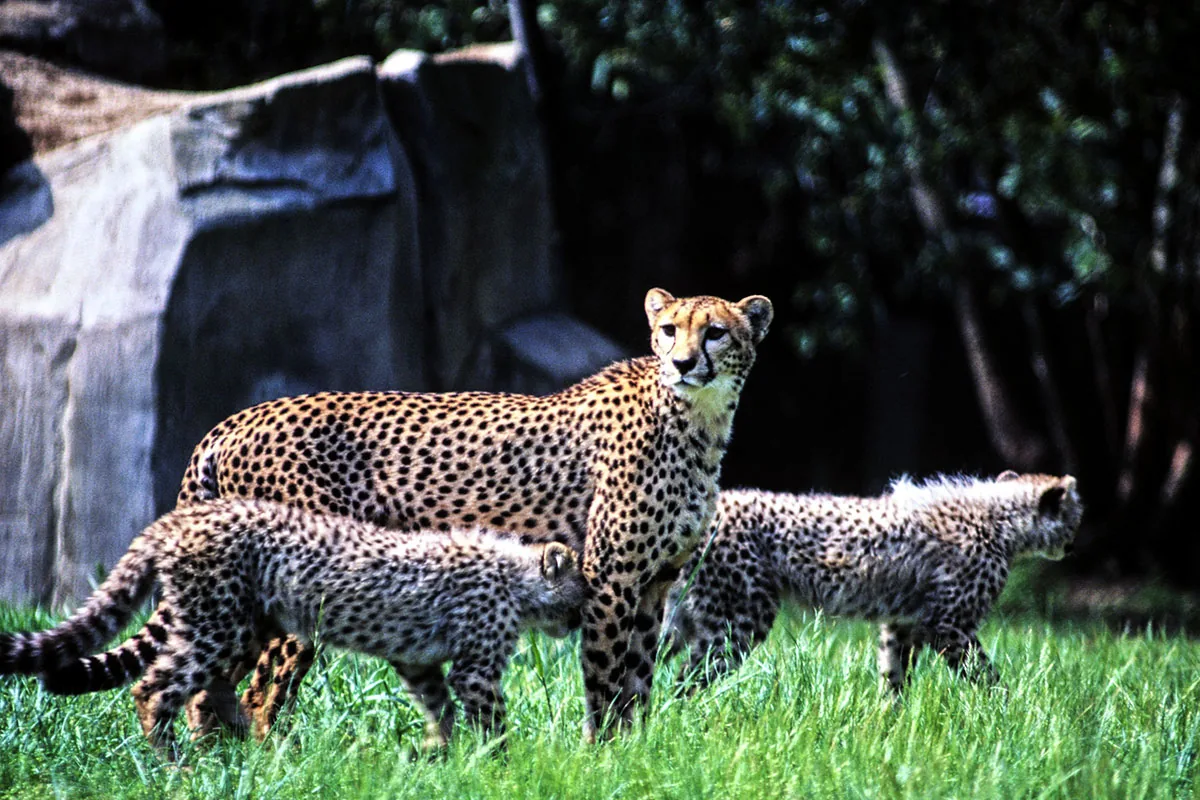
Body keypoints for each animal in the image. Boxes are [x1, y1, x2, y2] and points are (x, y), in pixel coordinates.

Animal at [0, 499, 586, 759]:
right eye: (583, 588)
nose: (583, 619)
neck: (517, 575)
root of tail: (183, 516)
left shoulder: (416, 660)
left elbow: (436, 703)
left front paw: (437, 752)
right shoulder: (476, 669)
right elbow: (490, 717)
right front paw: (499, 762)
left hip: (242, 623)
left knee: (214, 688)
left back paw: (249, 747)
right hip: (219, 622)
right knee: (156, 687)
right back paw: (177, 766)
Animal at [173, 287, 773, 741]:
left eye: (714, 332)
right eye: (669, 329)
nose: (683, 363)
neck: (698, 420)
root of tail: (236, 419)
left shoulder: (655, 581)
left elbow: (638, 681)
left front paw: (635, 748)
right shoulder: (609, 577)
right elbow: (605, 675)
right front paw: (601, 753)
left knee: (208, 684)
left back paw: (215, 764)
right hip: (303, 585)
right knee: (258, 691)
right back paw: (268, 761)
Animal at [662, 471, 1083, 694]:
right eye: (1076, 514)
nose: (1074, 543)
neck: (1001, 519)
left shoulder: (902, 624)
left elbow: (893, 679)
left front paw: (887, 731)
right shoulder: (950, 627)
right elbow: (987, 676)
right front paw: (1009, 713)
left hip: (682, 614)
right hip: (741, 620)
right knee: (684, 682)